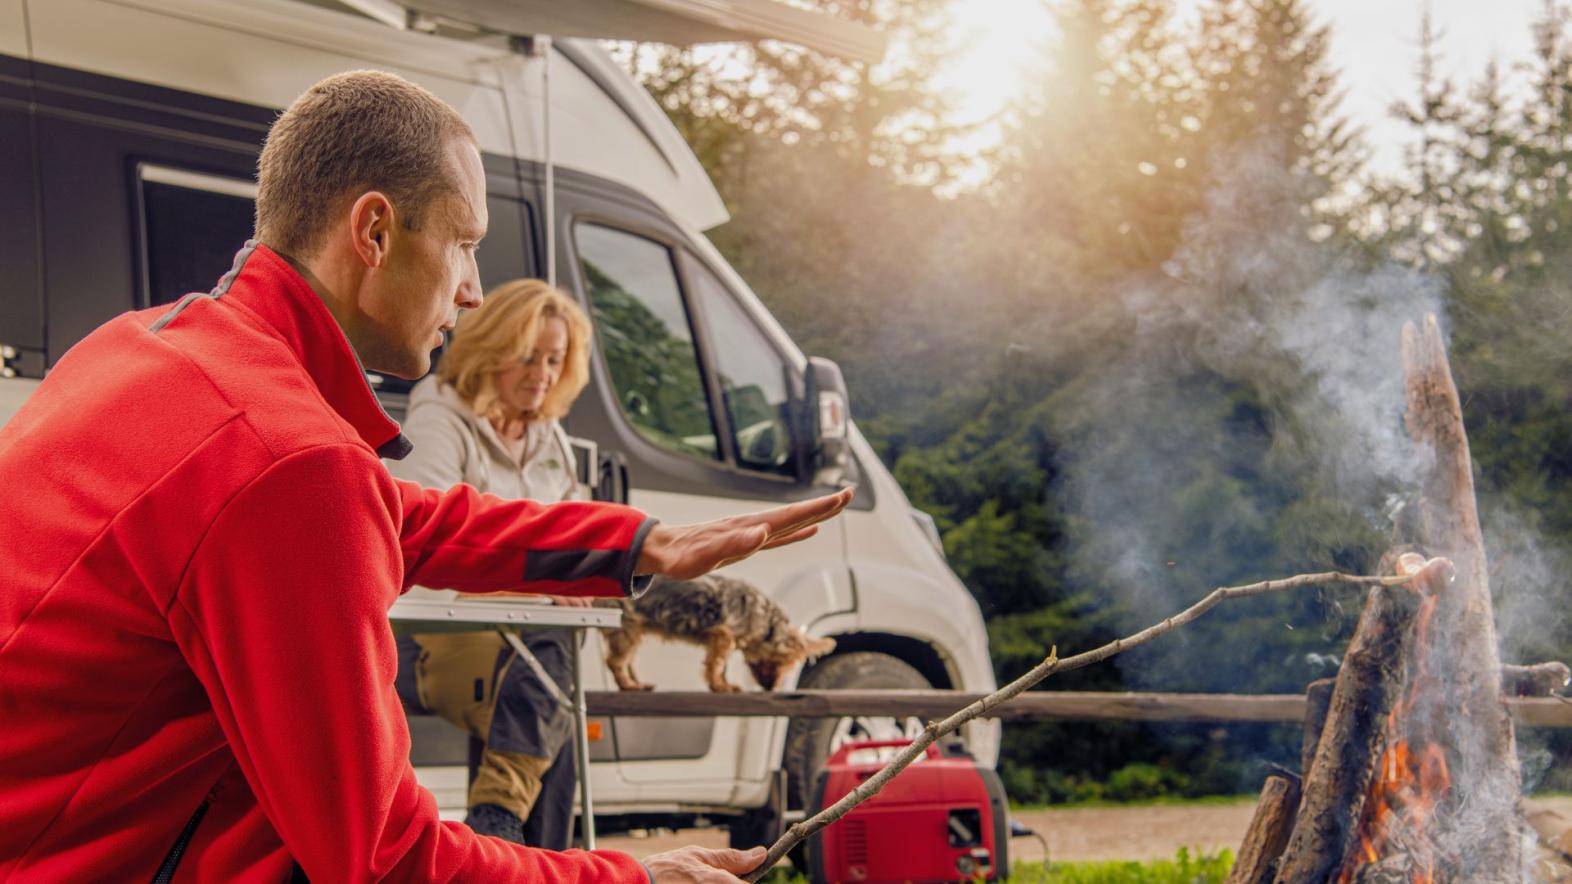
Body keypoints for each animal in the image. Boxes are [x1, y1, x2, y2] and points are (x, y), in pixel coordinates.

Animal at [591, 575, 836, 692]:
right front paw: (720, 686)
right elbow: (716, 665)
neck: (764, 620)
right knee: (616, 662)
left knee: (627, 660)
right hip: (627, 628)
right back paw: (628, 685)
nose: (771, 688)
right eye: (780, 663)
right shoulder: (723, 636)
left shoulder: (721, 641)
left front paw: (722, 685)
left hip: (633, 632)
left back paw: (637, 683)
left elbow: (721, 666)